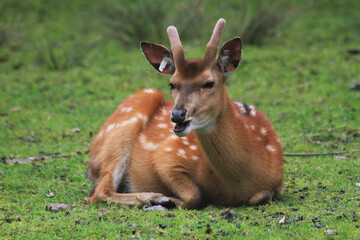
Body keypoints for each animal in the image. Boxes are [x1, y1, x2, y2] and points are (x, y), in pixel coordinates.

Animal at [87, 18, 284, 209]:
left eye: (209, 83)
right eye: (172, 84)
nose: (177, 114)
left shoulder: (277, 182)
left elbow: (262, 195)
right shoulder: (166, 156)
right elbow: (194, 195)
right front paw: (168, 199)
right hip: (122, 129)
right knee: (100, 192)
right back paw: (153, 197)